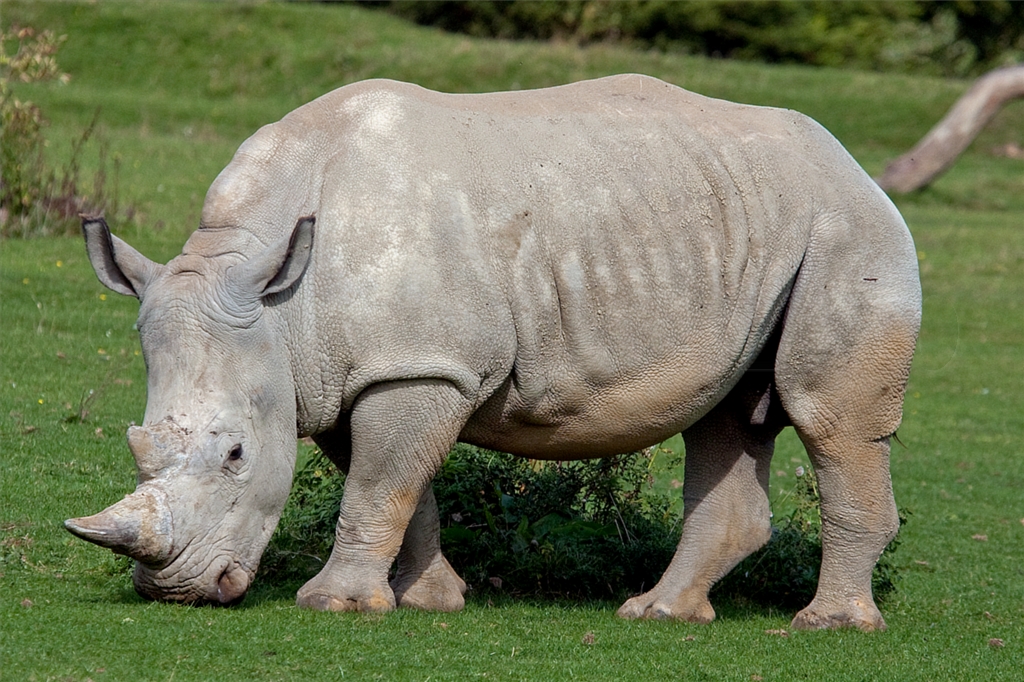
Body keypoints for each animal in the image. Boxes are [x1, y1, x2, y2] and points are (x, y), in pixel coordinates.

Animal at [66, 74, 920, 631]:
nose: (175, 591)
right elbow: (392, 484)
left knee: (826, 417)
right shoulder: (354, 370)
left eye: (237, 455)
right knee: (727, 417)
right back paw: (660, 614)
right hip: (747, 225)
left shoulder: (418, 362)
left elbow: (378, 483)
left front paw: (333, 604)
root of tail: (853, 164)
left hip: (846, 226)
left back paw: (827, 625)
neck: (279, 301)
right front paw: (428, 599)